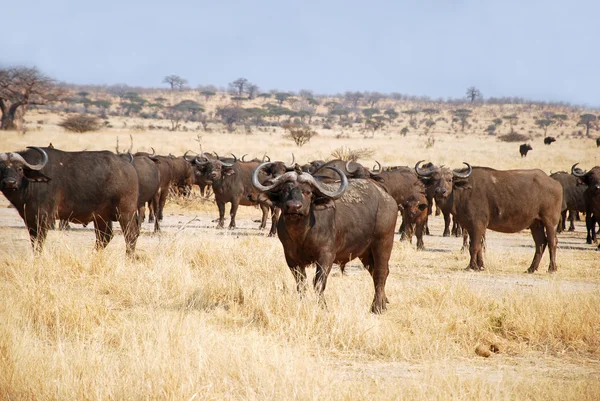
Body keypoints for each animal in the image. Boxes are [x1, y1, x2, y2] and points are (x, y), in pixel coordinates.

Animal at [0, 146, 139, 253]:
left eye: (19, 168)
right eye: (1, 169)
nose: (10, 183)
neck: (29, 184)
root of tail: (128, 167)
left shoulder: (43, 217)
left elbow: (39, 241)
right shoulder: (28, 219)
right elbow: (34, 242)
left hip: (125, 212)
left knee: (130, 235)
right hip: (101, 217)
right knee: (104, 237)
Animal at [252, 162, 398, 312]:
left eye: (308, 192)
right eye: (285, 190)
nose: (294, 207)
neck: (301, 234)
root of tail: (387, 198)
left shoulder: (326, 256)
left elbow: (318, 282)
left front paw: (322, 307)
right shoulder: (291, 258)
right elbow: (301, 283)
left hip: (383, 242)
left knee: (381, 272)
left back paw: (377, 307)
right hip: (365, 252)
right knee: (375, 272)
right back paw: (383, 303)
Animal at [418, 160, 564, 272]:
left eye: (449, 179)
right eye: (434, 180)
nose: (440, 191)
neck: (463, 192)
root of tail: (555, 183)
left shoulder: (477, 224)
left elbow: (474, 246)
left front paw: (471, 266)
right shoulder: (471, 226)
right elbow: (478, 246)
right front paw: (480, 266)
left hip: (550, 222)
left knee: (552, 242)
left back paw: (552, 268)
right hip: (535, 224)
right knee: (540, 243)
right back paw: (531, 268)